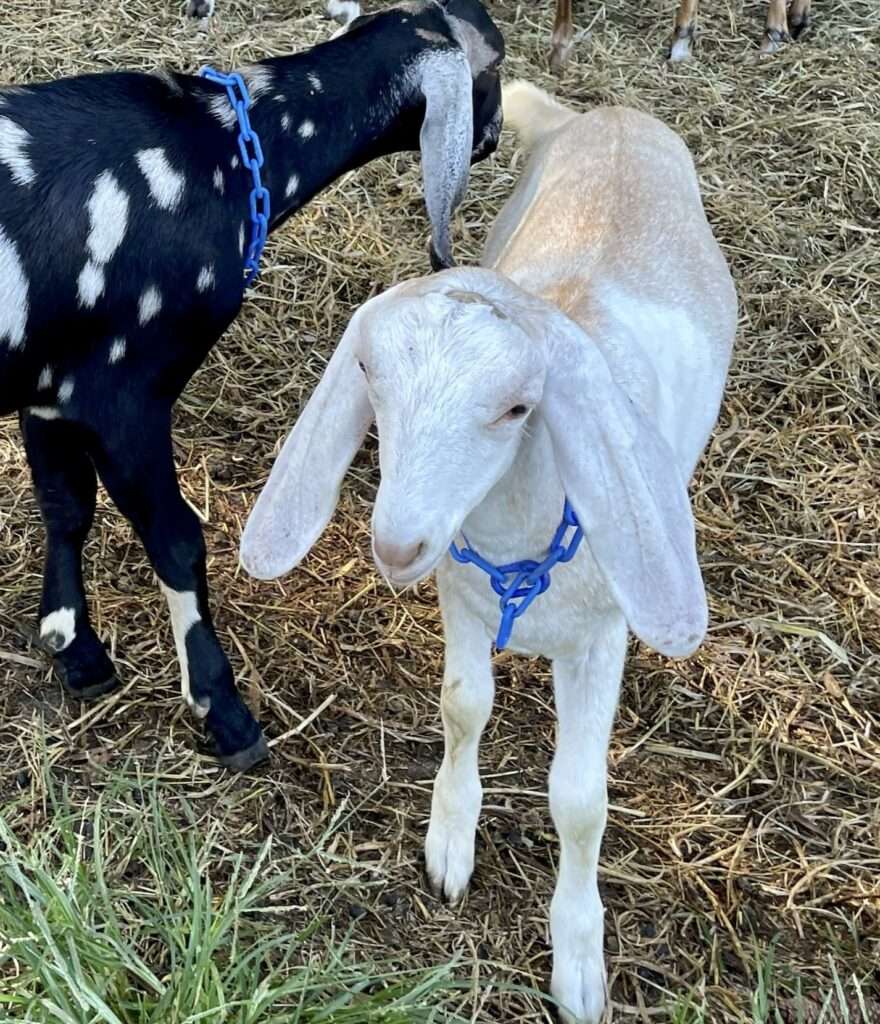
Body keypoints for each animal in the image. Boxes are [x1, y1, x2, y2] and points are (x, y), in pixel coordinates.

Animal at [0, 0, 506, 770]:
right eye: (495, 66)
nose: (497, 134)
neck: (225, 151)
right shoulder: (123, 393)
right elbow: (177, 539)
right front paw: (224, 710)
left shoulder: (51, 386)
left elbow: (65, 506)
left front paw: (73, 645)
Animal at [238, 81, 737, 1024]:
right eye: (368, 372)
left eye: (517, 408)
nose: (397, 542)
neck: (520, 548)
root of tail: (610, 115)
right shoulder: (460, 597)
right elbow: (464, 707)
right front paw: (450, 841)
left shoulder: (602, 640)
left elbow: (579, 801)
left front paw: (578, 960)